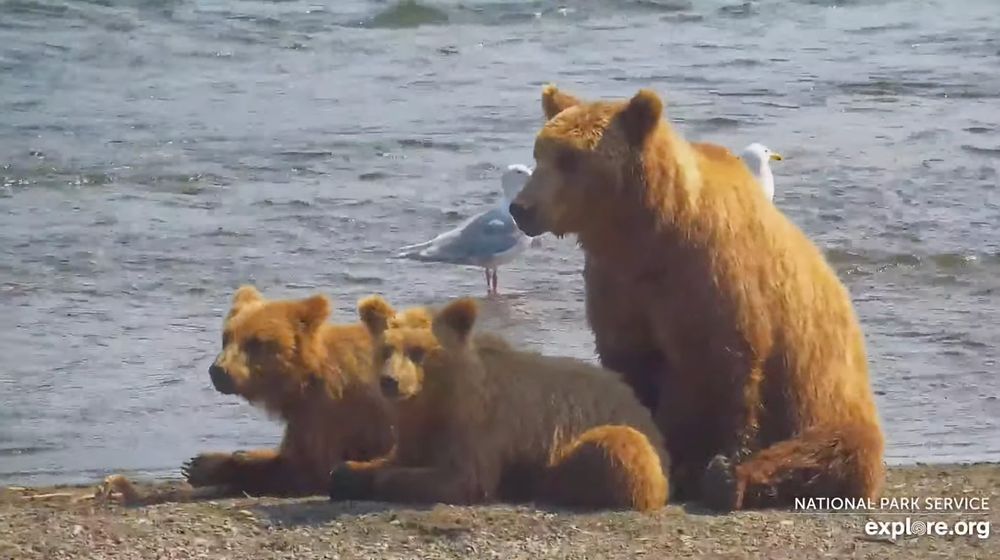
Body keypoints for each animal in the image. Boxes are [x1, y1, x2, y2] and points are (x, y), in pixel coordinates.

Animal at [181, 285, 431, 497]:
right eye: (226, 338)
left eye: (255, 342)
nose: (218, 371)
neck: (304, 379)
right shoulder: (304, 415)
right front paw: (202, 461)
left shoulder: (335, 412)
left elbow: (308, 468)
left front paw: (206, 466)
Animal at [327, 296, 670, 512]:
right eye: (386, 349)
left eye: (418, 351)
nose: (390, 381)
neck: (437, 398)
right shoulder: (418, 428)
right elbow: (394, 456)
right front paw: (349, 473)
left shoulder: (478, 426)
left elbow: (462, 479)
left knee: (615, 448)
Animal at [507, 84, 885, 511]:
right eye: (540, 151)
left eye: (570, 158)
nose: (521, 208)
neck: (644, 235)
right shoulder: (619, 287)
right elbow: (630, 361)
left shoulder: (711, 280)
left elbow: (724, 372)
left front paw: (709, 461)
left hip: (827, 398)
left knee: (833, 452)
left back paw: (730, 478)